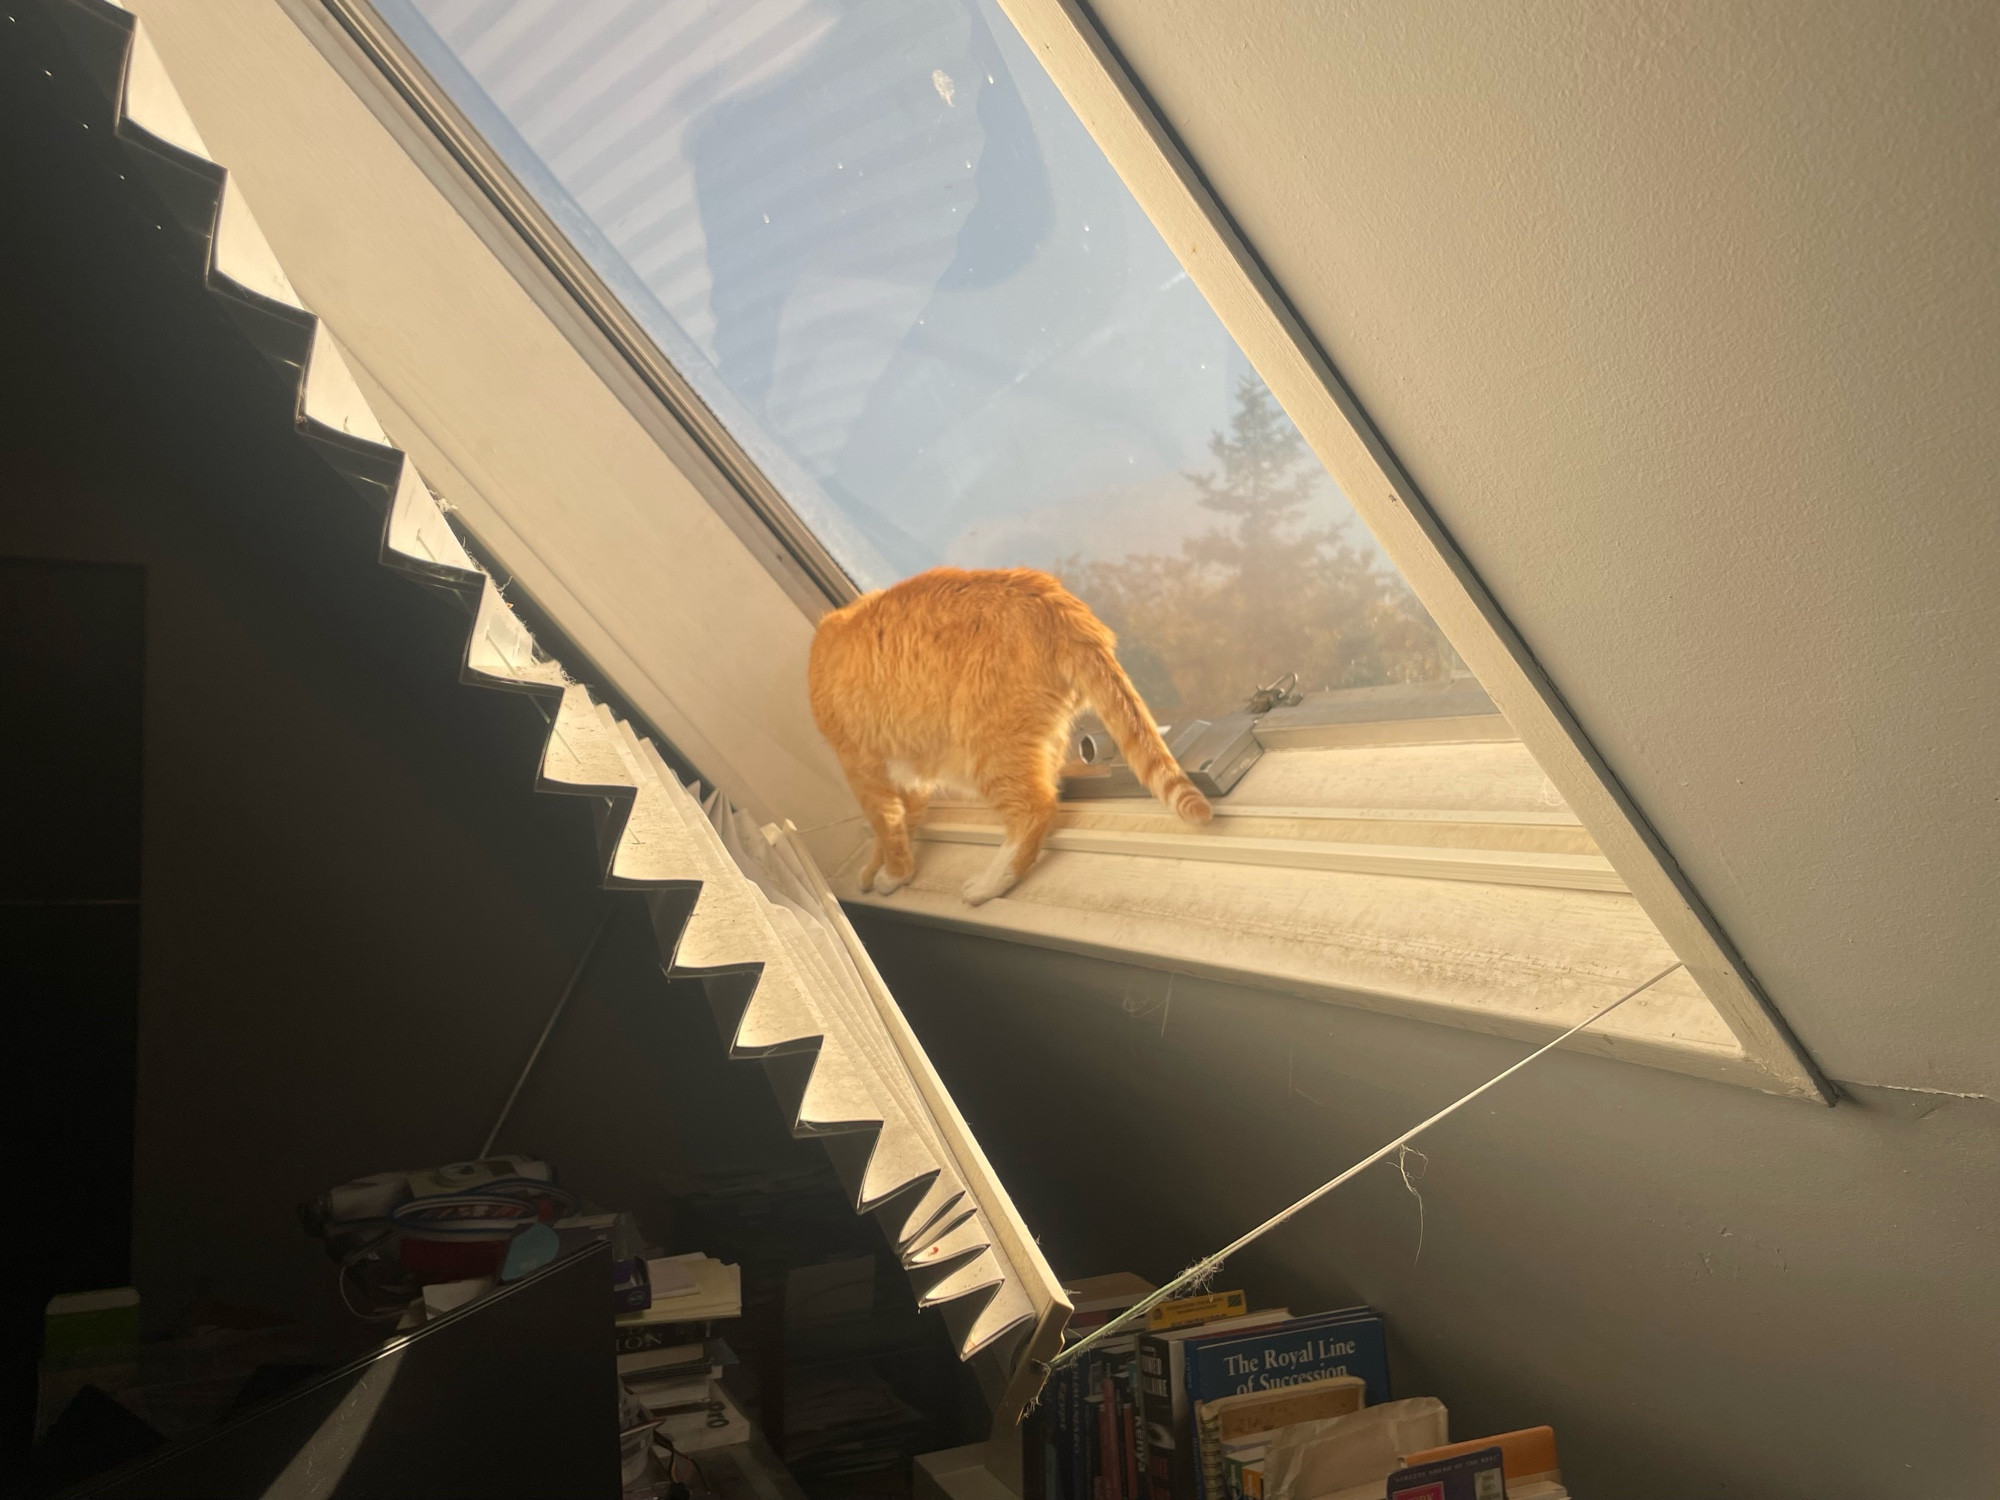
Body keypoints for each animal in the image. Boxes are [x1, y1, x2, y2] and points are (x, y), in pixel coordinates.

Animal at [804, 572, 1208, 904]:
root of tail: (1056, 602)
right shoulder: (909, 772)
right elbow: (901, 822)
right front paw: (876, 868)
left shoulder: (861, 768)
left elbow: (887, 825)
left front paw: (893, 875)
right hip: (1040, 739)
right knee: (1048, 791)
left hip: (985, 750)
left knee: (1036, 809)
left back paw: (986, 886)